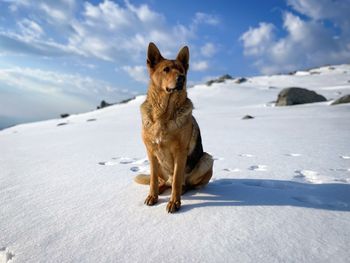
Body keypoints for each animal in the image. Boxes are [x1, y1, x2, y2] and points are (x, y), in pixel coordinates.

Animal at [135, 42, 213, 213]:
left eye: (182, 70)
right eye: (166, 69)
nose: (182, 78)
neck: (164, 114)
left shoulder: (180, 152)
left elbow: (178, 179)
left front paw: (174, 203)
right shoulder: (151, 152)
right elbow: (152, 179)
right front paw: (153, 196)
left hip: (207, 159)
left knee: (185, 183)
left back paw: (181, 190)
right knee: (163, 182)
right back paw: (161, 189)